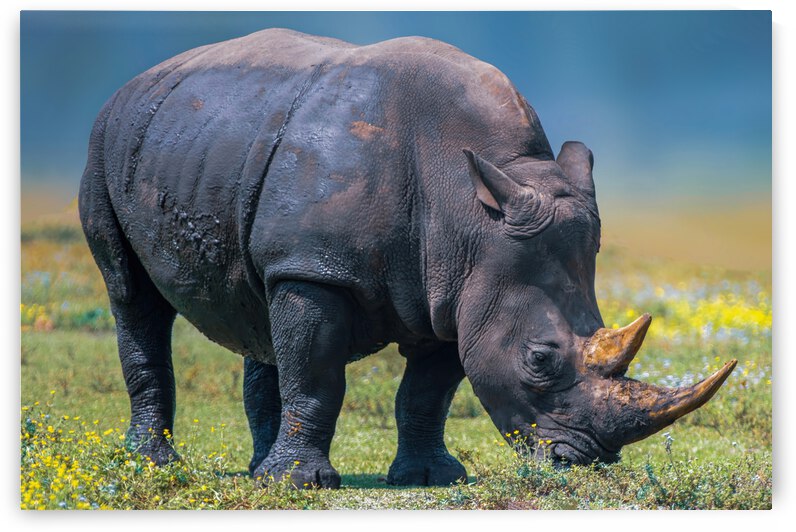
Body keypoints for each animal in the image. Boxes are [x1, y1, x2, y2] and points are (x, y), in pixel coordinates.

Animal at [79, 28, 736, 488]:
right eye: (540, 359)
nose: (582, 461)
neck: (471, 212)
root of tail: (138, 81)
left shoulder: (458, 289)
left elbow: (427, 390)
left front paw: (429, 478)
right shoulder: (318, 267)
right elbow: (316, 374)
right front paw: (301, 486)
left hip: (215, 152)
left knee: (261, 310)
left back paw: (257, 469)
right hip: (107, 141)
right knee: (133, 297)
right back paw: (158, 466)